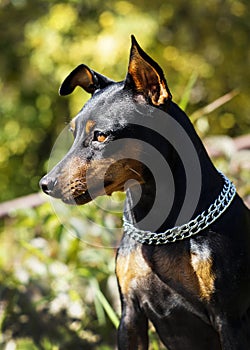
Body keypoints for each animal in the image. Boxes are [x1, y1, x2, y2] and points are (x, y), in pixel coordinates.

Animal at [39, 37, 250, 348]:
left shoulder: (231, 320)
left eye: (101, 135)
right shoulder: (130, 314)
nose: (46, 184)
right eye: (73, 132)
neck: (157, 227)